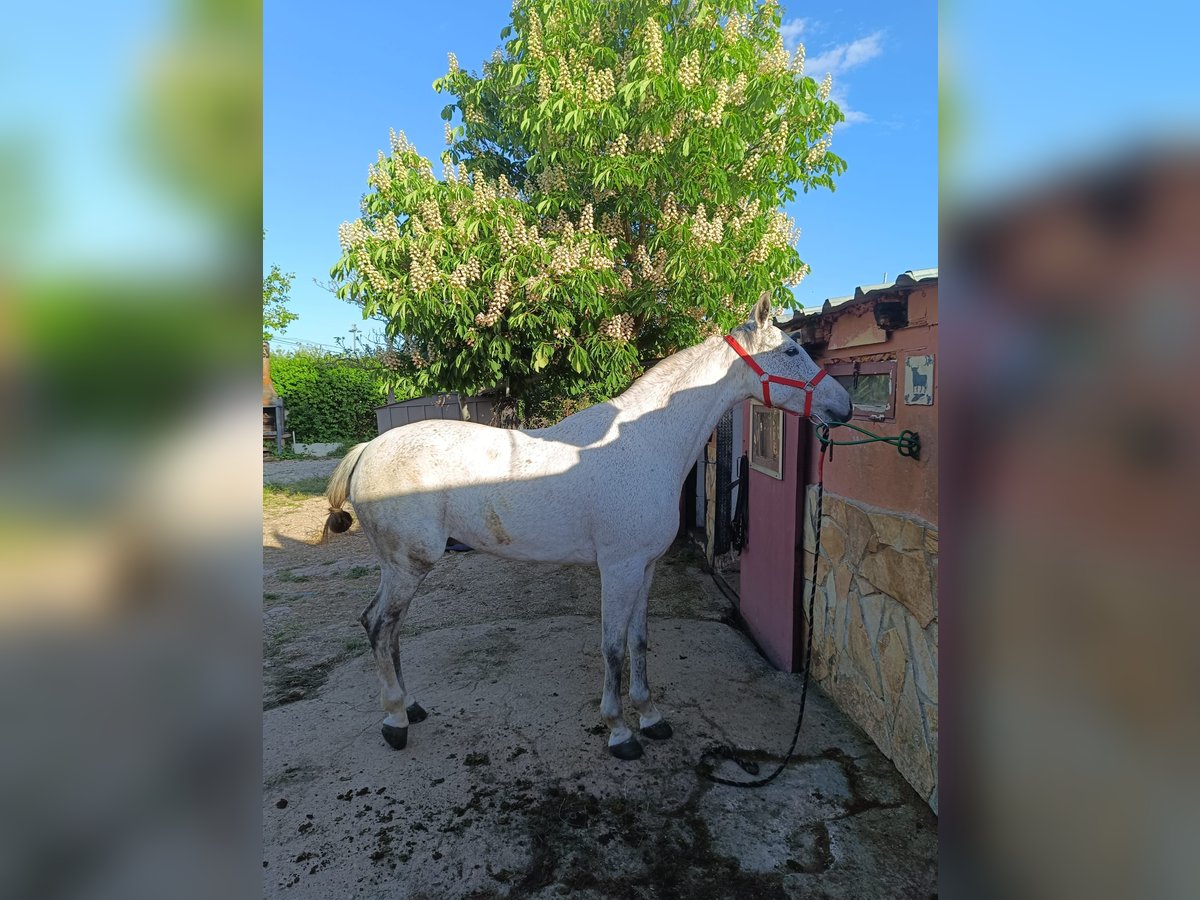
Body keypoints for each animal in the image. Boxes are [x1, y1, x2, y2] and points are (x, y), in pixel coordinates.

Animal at [321, 296, 854, 763]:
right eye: (790, 352)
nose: (844, 405)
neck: (646, 442)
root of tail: (369, 449)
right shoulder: (618, 569)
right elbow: (612, 647)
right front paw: (620, 731)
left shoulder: (645, 567)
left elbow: (638, 642)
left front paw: (650, 716)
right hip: (409, 564)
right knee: (380, 626)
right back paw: (396, 721)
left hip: (399, 567)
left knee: (383, 627)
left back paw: (410, 707)